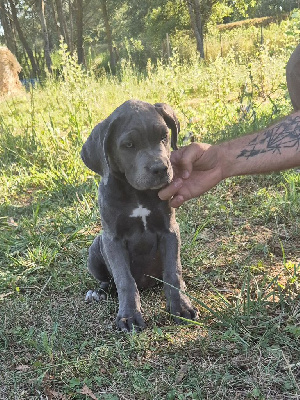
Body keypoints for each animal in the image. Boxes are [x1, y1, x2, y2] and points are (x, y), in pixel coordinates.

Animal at [81, 100, 197, 332]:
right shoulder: (113, 239)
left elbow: (173, 272)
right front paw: (129, 316)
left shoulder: (170, 230)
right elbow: (124, 280)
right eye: (128, 145)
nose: (160, 169)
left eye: (164, 136)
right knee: (109, 282)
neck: (137, 194)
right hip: (96, 247)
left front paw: (181, 306)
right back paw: (98, 293)